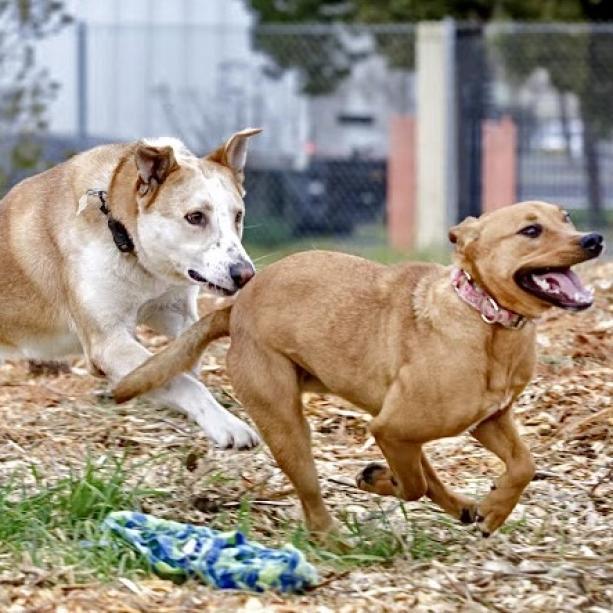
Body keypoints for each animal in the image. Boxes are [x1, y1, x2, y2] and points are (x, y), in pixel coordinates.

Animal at [0, 126, 260, 448]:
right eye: (195, 217)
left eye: (238, 216)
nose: (245, 274)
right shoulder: (109, 343)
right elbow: (181, 381)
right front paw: (226, 423)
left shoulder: (174, 310)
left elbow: (186, 364)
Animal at [115, 201, 604, 536]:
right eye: (531, 230)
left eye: (566, 219)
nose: (594, 239)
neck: (486, 321)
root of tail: (237, 305)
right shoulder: (390, 428)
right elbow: (412, 485)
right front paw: (384, 483)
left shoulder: (488, 420)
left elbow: (523, 464)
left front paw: (496, 508)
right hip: (289, 426)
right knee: (318, 498)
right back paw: (335, 536)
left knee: (427, 472)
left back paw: (459, 505)